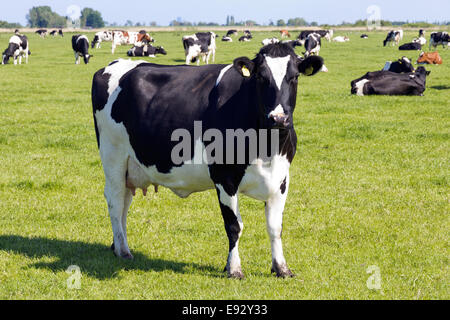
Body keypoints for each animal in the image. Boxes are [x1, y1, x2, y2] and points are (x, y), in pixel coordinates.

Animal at [91, 43, 326, 278]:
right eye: (261, 77)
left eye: (295, 77)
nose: (278, 118)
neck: (267, 148)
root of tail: (112, 65)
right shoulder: (224, 178)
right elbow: (234, 226)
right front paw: (234, 268)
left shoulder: (281, 179)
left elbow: (275, 227)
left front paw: (281, 268)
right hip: (113, 155)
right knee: (115, 200)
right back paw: (123, 250)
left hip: (131, 167)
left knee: (125, 200)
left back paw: (118, 245)